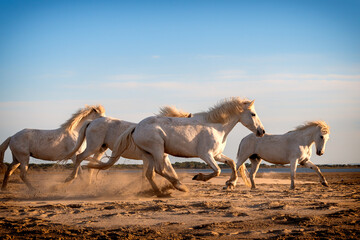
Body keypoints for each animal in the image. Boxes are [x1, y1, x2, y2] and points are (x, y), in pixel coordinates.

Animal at [87, 96, 264, 194]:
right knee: (159, 170)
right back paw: (179, 186)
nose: (261, 131)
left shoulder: (217, 155)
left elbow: (232, 163)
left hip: (148, 154)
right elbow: (218, 171)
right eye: (253, 114)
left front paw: (230, 185)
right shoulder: (206, 155)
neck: (215, 126)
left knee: (150, 174)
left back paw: (160, 192)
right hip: (157, 150)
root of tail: (136, 127)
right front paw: (199, 177)